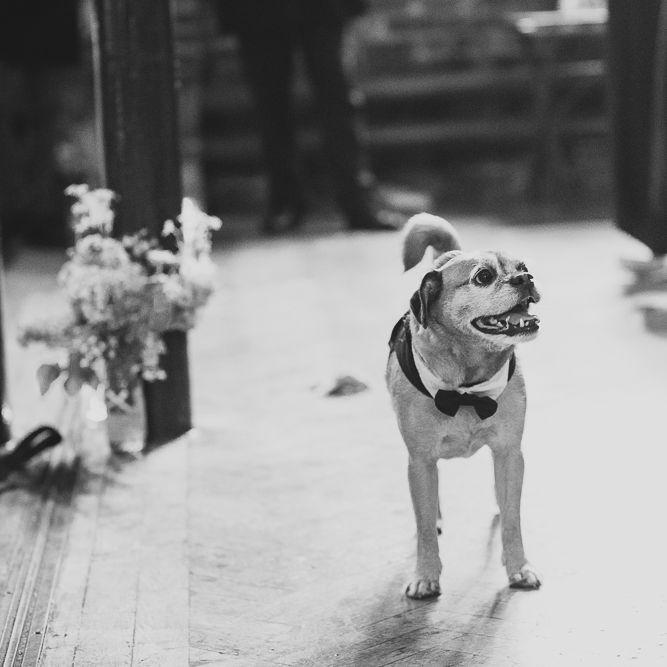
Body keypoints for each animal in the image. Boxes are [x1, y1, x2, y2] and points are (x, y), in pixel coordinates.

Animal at [386, 213, 542, 598]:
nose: (527, 278)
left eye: (523, 267)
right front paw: (425, 574)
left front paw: (519, 567)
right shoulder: (420, 461)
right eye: (483, 276)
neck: (468, 387)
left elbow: (513, 519)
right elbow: (425, 527)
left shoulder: (509, 452)